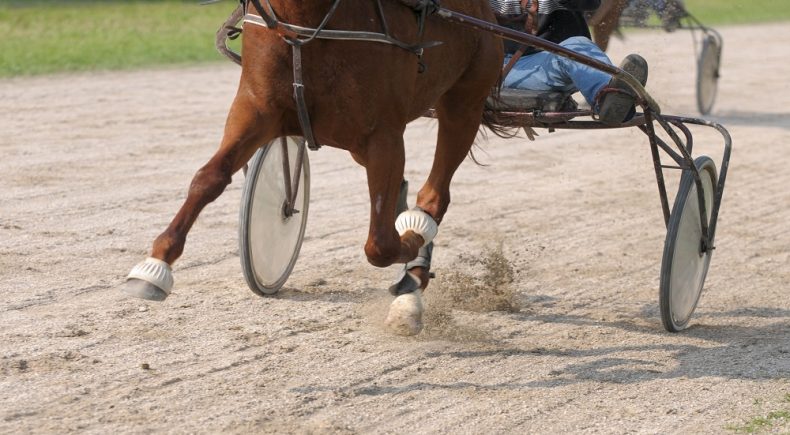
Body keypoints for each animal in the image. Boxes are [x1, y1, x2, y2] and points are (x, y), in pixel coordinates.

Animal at [125, 0, 508, 338]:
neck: (305, 23)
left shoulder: (383, 135)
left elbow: (381, 245)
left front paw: (410, 251)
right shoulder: (255, 110)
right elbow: (209, 178)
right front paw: (154, 267)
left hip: (464, 104)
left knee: (434, 194)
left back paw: (414, 266)